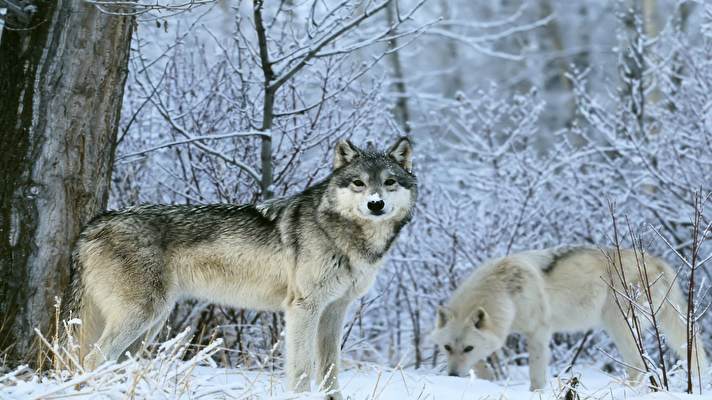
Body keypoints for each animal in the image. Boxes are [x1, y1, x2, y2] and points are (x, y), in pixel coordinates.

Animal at [428, 247, 708, 390]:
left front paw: (536, 393)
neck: (504, 291)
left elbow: (536, 375)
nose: (452, 376)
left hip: (619, 326)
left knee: (638, 364)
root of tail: (660, 262)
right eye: (447, 348)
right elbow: (482, 365)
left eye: (467, 347)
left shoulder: (538, 333)